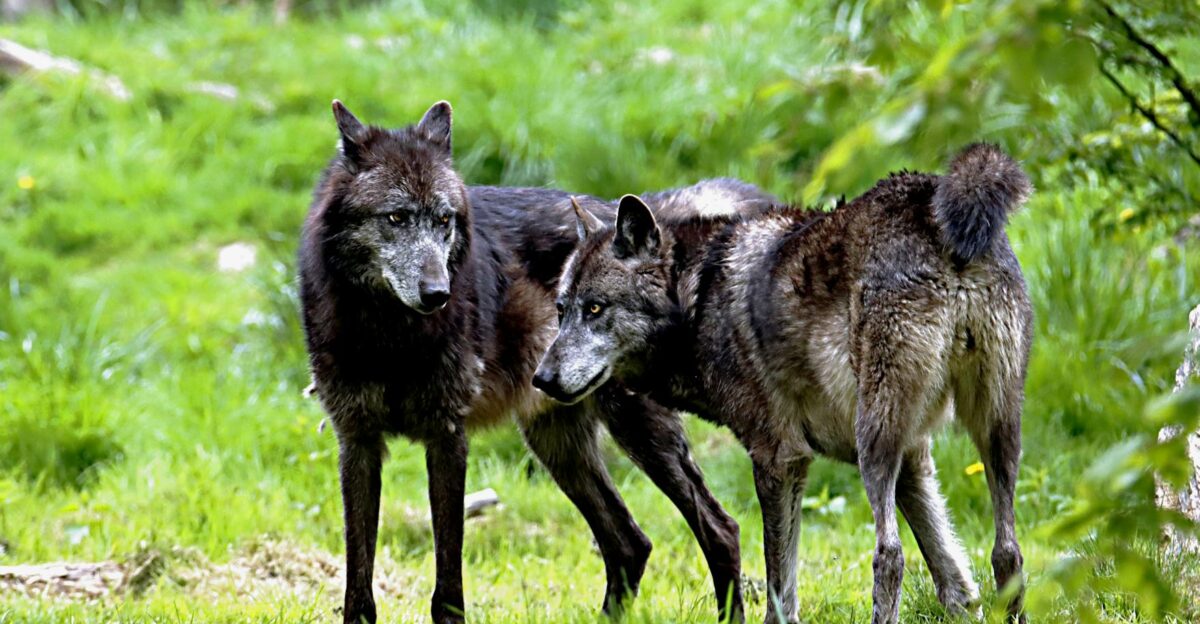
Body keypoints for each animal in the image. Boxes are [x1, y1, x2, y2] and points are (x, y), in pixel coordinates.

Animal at [298, 100, 776, 623]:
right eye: (397, 217)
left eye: (444, 221)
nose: (438, 292)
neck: (388, 337)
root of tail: (633, 219)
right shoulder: (357, 442)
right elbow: (358, 577)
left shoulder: (447, 437)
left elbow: (449, 577)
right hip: (556, 441)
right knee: (631, 542)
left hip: (635, 429)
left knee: (720, 528)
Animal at [535, 144, 1033, 624]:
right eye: (560, 310)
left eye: (595, 309)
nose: (541, 379)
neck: (697, 299)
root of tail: (927, 203)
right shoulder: (913, 458)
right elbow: (955, 582)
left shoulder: (780, 459)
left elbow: (781, 591)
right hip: (997, 431)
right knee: (1007, 552)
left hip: (875, 445)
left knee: (889, 555)